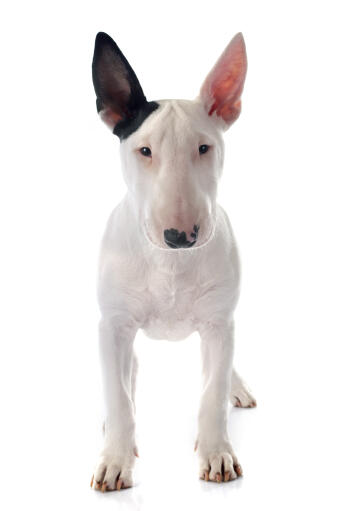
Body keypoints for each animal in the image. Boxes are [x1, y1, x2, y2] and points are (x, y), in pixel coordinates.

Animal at [90, 31, 255, 492]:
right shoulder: (113, 325)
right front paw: (115, 460)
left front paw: (216, 454)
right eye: (144, 150)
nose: (180, 237)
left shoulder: (218, 322)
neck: (170, 267)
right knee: (125, 378)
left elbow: (212, 393)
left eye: (204, 147)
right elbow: (118, 397)